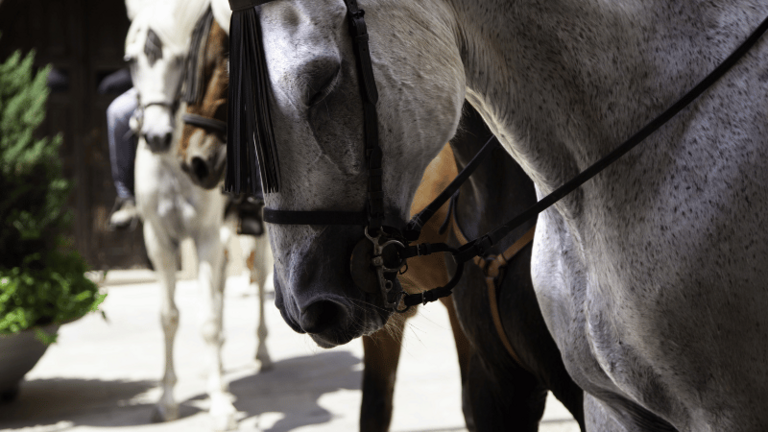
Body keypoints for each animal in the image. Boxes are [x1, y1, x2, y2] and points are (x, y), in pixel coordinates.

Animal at [125, 2, 244, 429]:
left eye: (180, 59)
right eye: (131, 61)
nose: (157, 137)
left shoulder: (206, 236)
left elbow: (207, 322)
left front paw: (221, 406)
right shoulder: (158, 240)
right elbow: (169, 317)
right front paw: (166, 400)